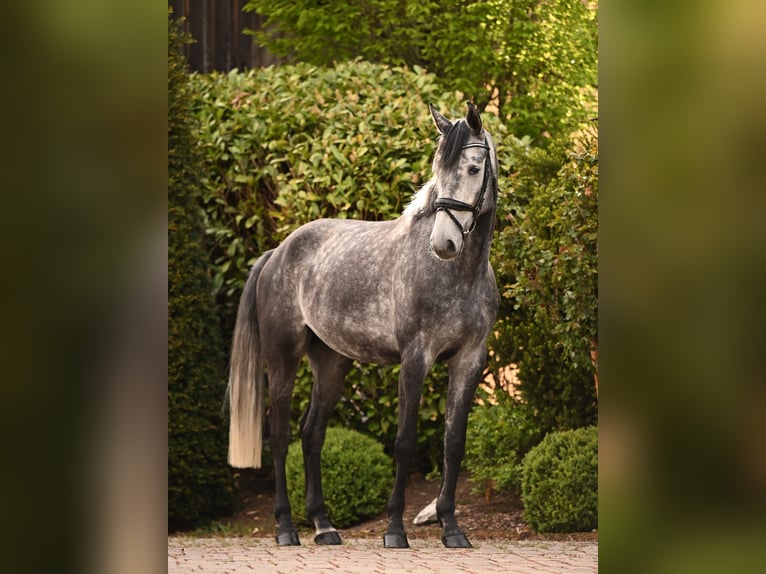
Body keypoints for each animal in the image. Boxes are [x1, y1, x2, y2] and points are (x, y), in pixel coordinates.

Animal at [227, 102, 500, 549]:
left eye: (474, 168)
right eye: (437, 170)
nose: (444, 243)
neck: (458, 275)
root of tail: (278, 252)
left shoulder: (469, 361)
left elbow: (454, 443)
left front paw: (452, 529)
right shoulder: (416, 358)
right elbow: (404, 443)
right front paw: (395, 531)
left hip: (332, 363)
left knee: (312, 434)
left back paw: (323, 526)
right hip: (283, 358)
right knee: (280, 435)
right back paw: (286, 528)